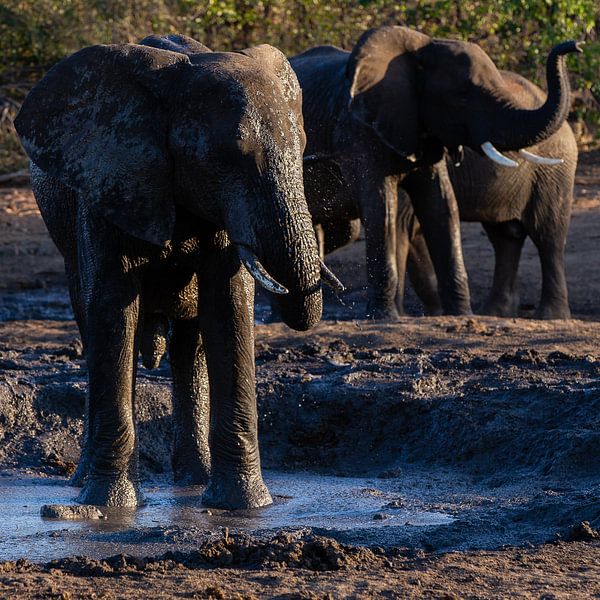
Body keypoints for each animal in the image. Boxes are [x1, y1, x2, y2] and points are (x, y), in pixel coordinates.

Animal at [14, 32, 340, 508]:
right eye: (227, 157)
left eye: (301, 146)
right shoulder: (108, 179)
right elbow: (112, 309)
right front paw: (109, 507)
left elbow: (228, 305)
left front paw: (244, 506)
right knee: (95, 327)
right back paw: (85, 483)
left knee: (191, 344)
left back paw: (191, 479)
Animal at [290, 24, 580, 318]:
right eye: (462, 96)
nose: (574, 46)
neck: (417, 50)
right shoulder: (360, 134)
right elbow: (387, 212)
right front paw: (391, 316)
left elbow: (440, 206)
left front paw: (456, 314)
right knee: (507, 236)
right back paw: (498, 312)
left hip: (554, 172)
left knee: (547, 236)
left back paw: (548, 316)